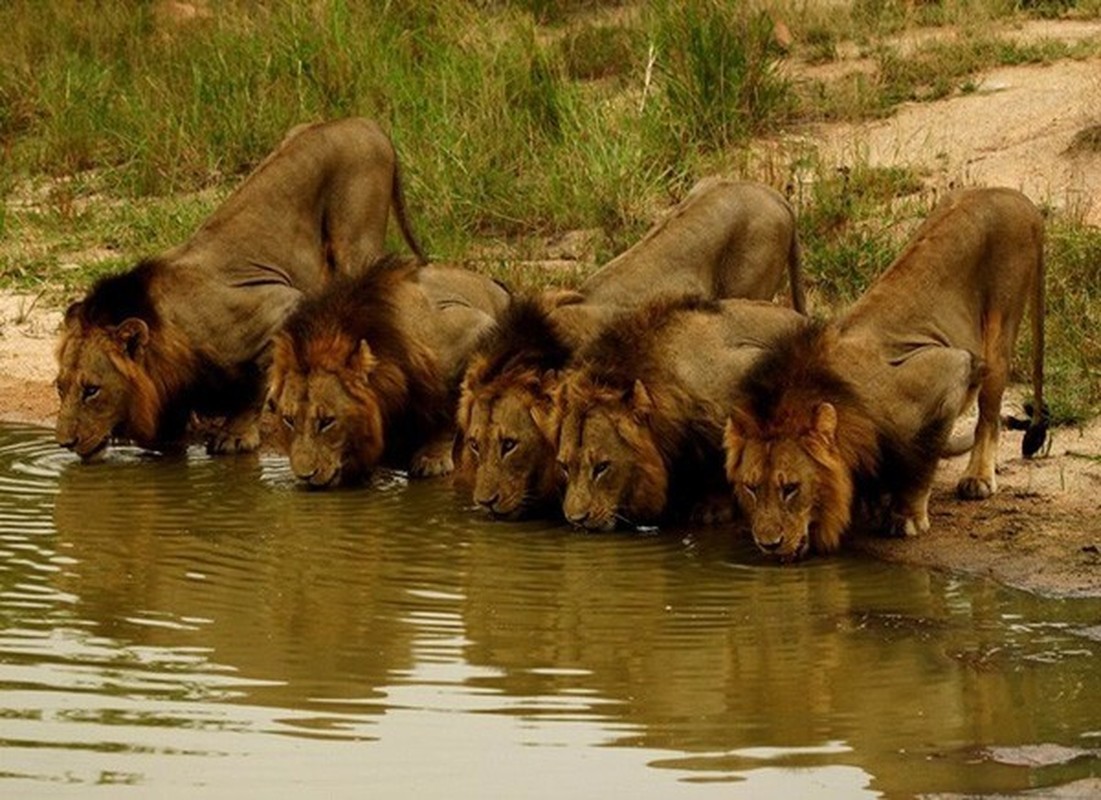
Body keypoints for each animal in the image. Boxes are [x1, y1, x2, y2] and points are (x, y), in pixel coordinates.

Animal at [54, 115, 424, 459]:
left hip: (356, 242)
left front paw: (235, 435)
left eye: (91, 390)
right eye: (60, 387)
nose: (64, 443)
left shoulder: (280, 303)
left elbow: (252, 386)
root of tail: (364, 122)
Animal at [268, 255, 508, 488]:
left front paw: (432, 459)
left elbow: (449, 408)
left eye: (327, 421)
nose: (304, 476)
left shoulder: (474, 329)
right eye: (288, 420)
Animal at [726, 188, 1043, 563]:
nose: (768, 544)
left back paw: (977, 479)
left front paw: (905, 517)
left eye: (790, 488)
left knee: (989, 416)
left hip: (1000, 328)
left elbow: (922, 460)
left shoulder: (950, 370)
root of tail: (1012, 195)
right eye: (751, 487)